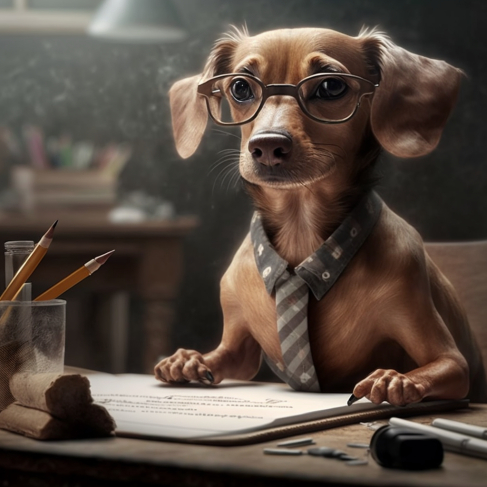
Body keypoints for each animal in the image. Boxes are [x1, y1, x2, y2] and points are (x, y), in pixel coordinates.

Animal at [156, 27, 487, 408]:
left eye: (331, 86)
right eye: (240, 87)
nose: (266, 146)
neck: (301, 233)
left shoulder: (450, 358)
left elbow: (442, 366)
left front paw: (395, 379)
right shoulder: (239, 351)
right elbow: (223, 358)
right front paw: (189, 359)